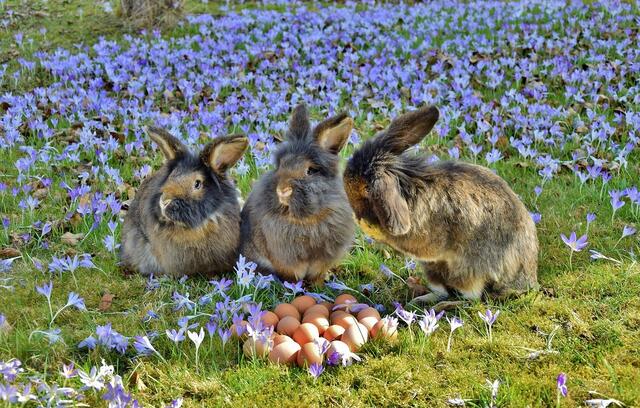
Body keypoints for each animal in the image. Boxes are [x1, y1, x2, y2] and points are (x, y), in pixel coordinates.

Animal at [240, 104, 356, 284]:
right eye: (281, 165)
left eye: (311, 171)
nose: (282, 190)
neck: (306, 219)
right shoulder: (285, 259)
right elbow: (292, 274)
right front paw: (295, 286)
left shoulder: (323, 259)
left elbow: (317, 274)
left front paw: (318, 285)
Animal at [343, 105, 538, 303]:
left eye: (367, 188)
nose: (356, 214)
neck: (407, 188)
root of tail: (526, 282)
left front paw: (368, 227)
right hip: (432, 269)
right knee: (442, 289)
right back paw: (420, 300)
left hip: (468, 270)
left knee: (469, 297)